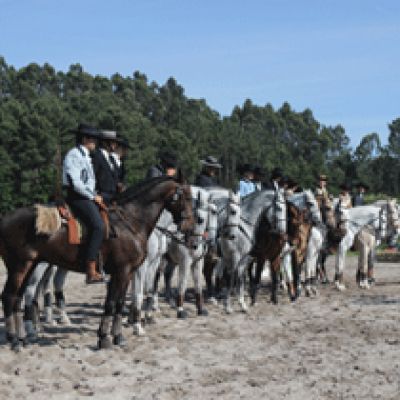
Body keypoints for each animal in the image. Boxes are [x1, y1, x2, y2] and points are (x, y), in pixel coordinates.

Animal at [0, 177, 194, 350]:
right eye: (186, 198)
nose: (188, 228)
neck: (130, 221)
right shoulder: (122, 271)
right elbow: (113, 303)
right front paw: (107, 338)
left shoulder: (126, 273)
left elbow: (117, 303)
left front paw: (114, 337)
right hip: (19, 266)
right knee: (9, 296)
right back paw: (15, 340)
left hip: (30, 265)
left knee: (18, 298)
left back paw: (23, 338)